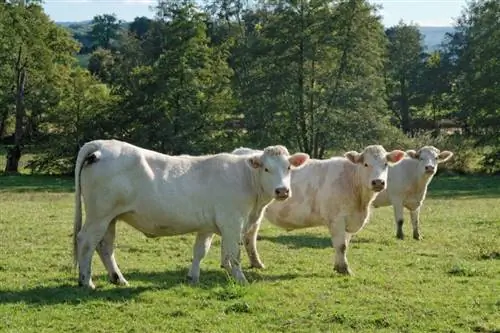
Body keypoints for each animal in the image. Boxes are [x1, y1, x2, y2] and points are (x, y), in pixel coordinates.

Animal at [73, 139, 308, 288]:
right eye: (267, 168)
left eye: (288, 168)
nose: (282, 190)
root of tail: (101, 144)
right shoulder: (232, 222)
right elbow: (234, 254)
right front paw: (241, 279)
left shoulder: (208, 226)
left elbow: (200, 252)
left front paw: (193, 278)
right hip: (99, 216)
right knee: (86, 242)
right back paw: (87, 282)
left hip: (110, 218)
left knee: (105, 246)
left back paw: (118, 279)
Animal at [231, 144, 406, 274]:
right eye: (366, 164)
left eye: (385, 164)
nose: (378, 182)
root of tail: (241, 150)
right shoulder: (337, 219)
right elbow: (341, 245)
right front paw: (344, 269)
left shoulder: (349, 221)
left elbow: (344, 244)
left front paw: (338, 266)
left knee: (250, 237)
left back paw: (257, 264)